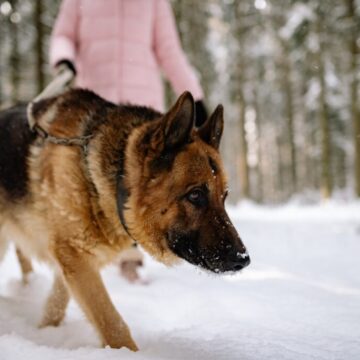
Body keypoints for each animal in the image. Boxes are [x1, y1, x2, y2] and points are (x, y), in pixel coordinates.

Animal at [0, 88, 250, 350]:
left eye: (224, 196)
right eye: (195, 194)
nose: (243, 260)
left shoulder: (70, 257)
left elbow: (58, 300)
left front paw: (46, 330)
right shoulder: (75, 255)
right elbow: (112, 323)